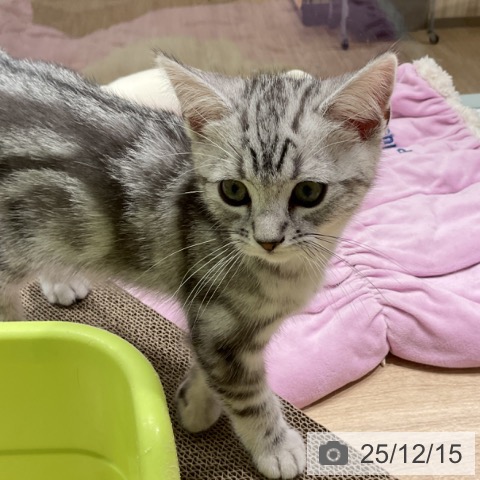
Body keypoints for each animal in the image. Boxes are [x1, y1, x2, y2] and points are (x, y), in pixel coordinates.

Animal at [0, 49, 396, 478]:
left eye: (308, 192)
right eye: (234, 190)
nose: (268, 240)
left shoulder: (223, 323)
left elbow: (208, 364)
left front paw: (194, 405)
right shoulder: (218, 319)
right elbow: (245, 391)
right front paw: (275, 447)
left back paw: (60, 278)